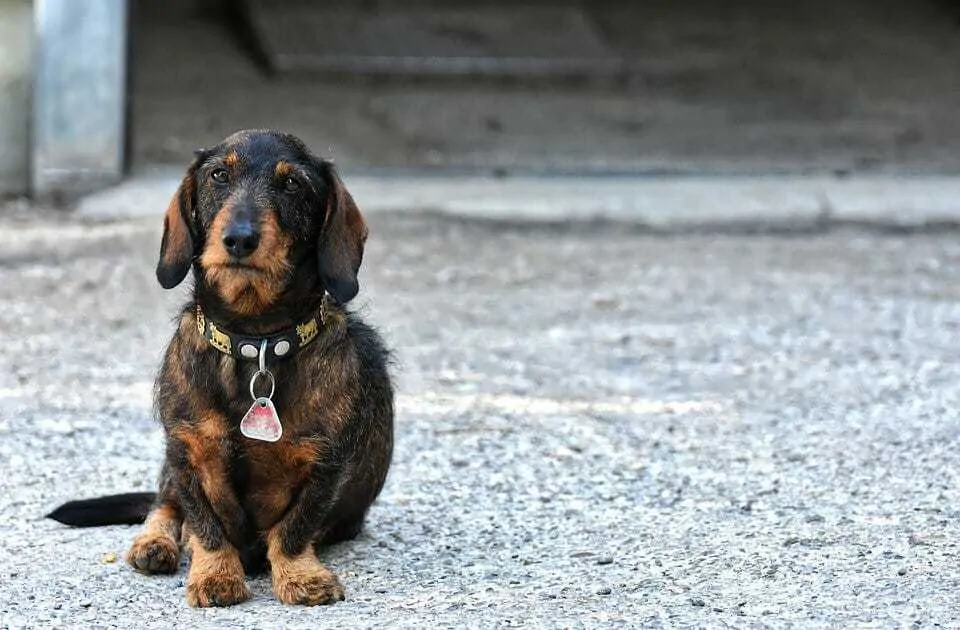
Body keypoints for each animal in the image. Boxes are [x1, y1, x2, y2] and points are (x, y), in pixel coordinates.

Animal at [47, 131, 394, 608]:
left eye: (292, 185)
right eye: (218, 175)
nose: (239, 239)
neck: (255, 342)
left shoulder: (324, 464)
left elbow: (294, 527)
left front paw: (301, 575)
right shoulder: (185, 451)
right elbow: (203, 523)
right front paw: (215, 573)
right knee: (163, 505)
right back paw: (154, 543)